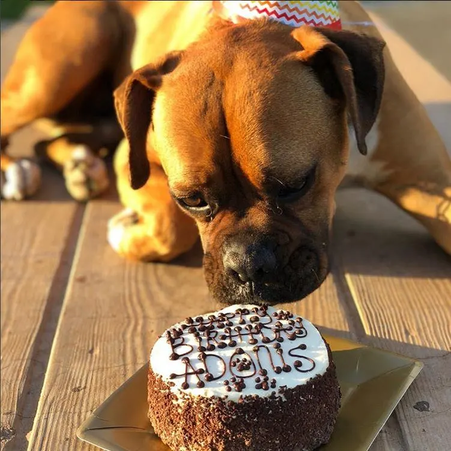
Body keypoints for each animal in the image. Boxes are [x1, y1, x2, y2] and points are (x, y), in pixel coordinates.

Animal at [1, 1, 450, 306]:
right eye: (191, 200)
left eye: (296, 184)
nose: (248, 265)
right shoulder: (137, 160)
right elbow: (170, 227)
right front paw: (126, 231)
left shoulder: (431, 182)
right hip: (60, 66)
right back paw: (18, 172)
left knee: (51, 140)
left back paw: (80, 164)